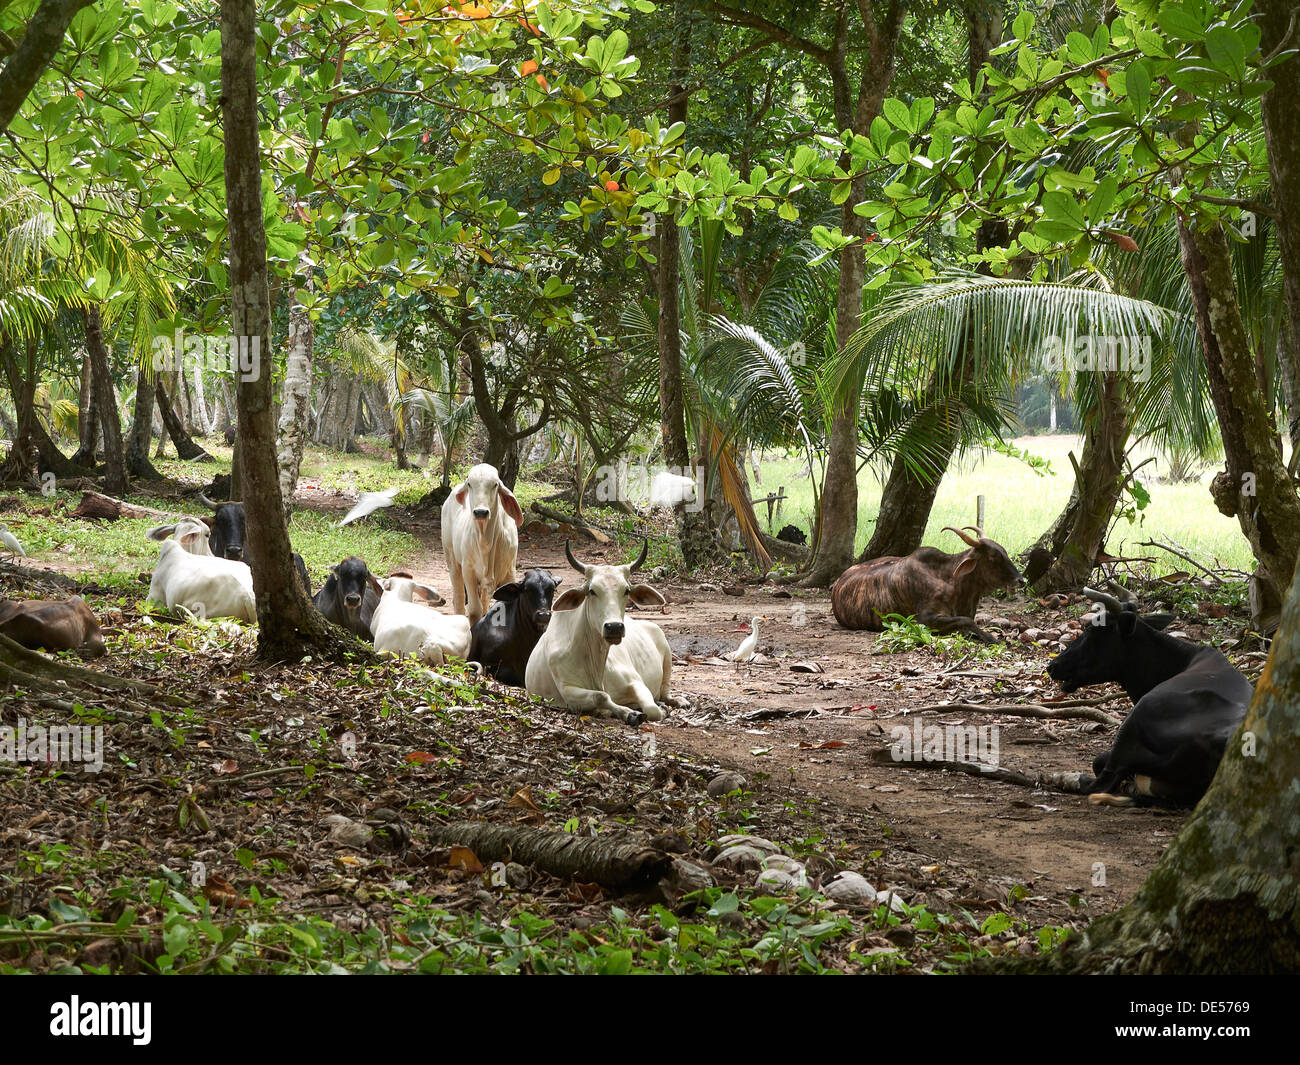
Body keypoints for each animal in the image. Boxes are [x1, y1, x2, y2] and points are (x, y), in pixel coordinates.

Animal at [522, 540, 686, 723]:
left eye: (626, 590)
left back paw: (679, 701)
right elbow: (601, 696)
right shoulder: (568, 690)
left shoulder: (636, 681)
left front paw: (660, 710)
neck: (596, 664)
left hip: (666, 653)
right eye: (592, 591)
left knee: (665, 692)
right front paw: (629, 713)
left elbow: (652, 709)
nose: (614, 627)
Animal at [826, 525, 1019, 642]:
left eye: (1004, 552)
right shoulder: (924, 620)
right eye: (993, 556)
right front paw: (991, 638)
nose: (1021, 580)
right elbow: (966, 621)